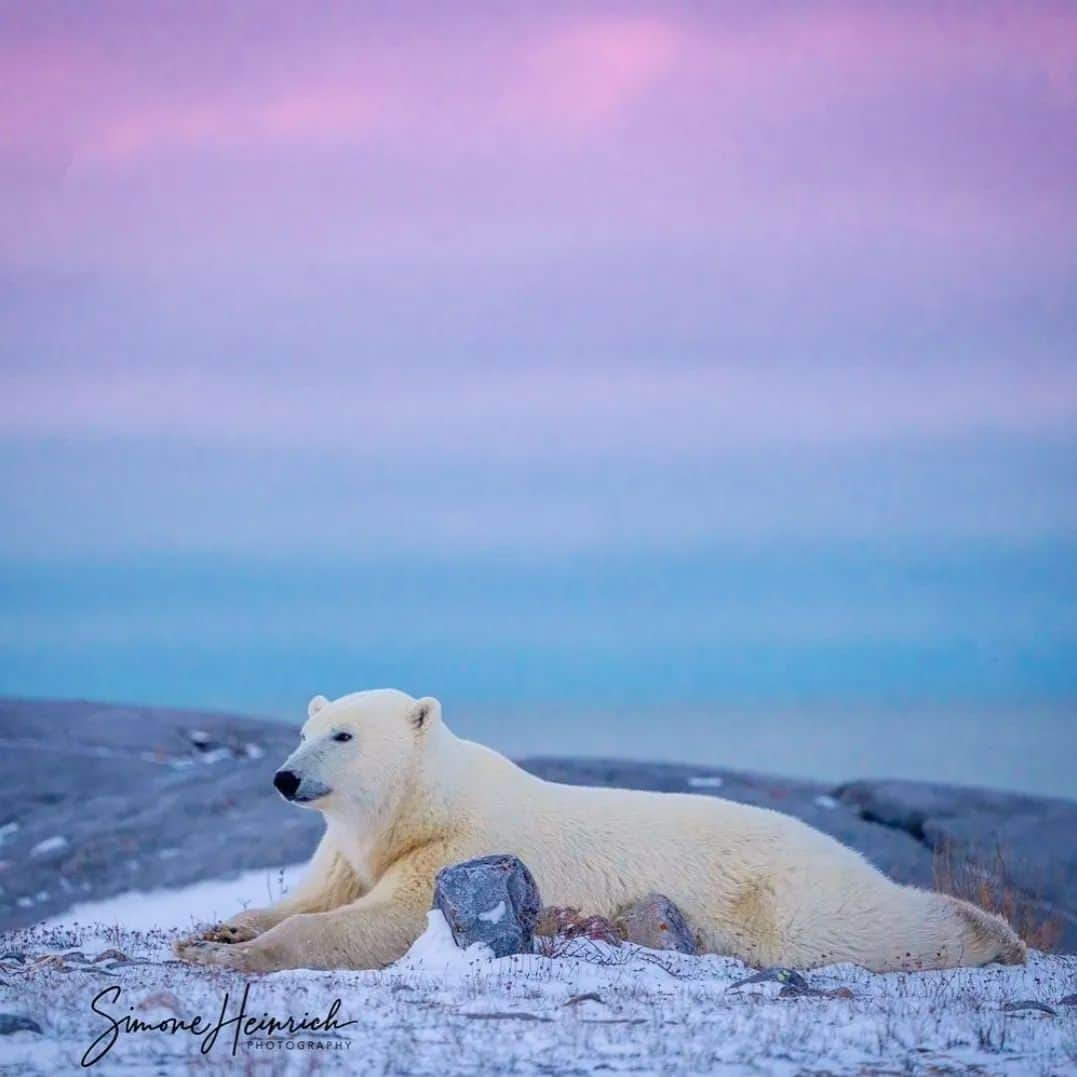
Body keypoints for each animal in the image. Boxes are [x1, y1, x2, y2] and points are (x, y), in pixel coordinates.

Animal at [176, 689, 1025, 977]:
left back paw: (992, 931)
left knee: (864, 925)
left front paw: (235, 957)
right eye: (303, 729)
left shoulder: (461, 850)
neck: (423, 804)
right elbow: (313, 894)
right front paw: (219, 929)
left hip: (786, 900)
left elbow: (383, 922)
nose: (284, 777)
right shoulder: (351, 848)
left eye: (343, 734)